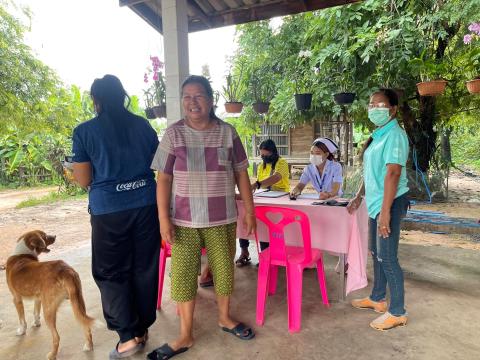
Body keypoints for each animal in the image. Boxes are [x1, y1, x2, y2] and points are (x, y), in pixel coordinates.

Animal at [6, 231, 94, 360]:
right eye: (45, 235)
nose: (55, 236)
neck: (22, 254)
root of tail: (66, 271)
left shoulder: (16, 299)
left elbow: (22, 320)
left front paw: (21, 331)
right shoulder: (38, 298)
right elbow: (35, 312)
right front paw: (36, 323)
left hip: (48, 310)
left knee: (56, 337)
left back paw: (52, 355)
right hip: (78, 302)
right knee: (86, 325)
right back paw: (88, 346)